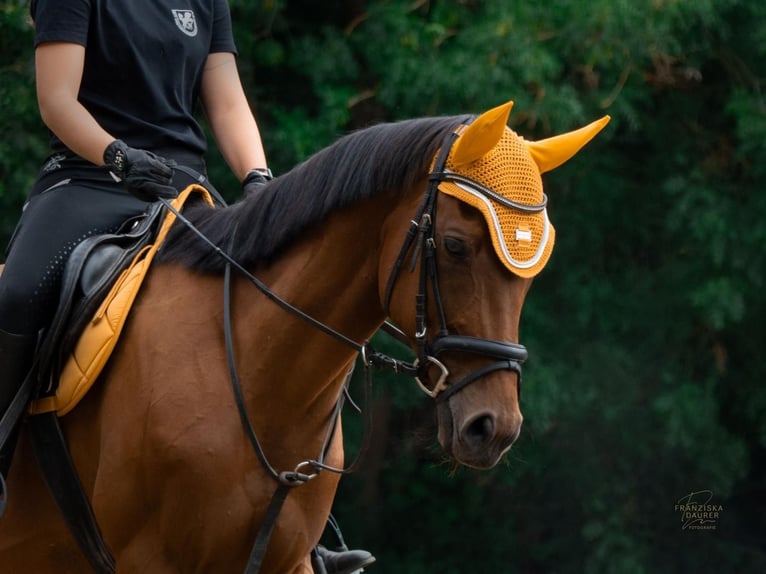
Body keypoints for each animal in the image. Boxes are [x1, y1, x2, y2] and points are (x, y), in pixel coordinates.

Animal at [0, 101, 608, 573]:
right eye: (456, 246)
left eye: (529, 276)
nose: (493, 428)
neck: (252, 371)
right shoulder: (152, 560)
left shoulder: (284, 560)